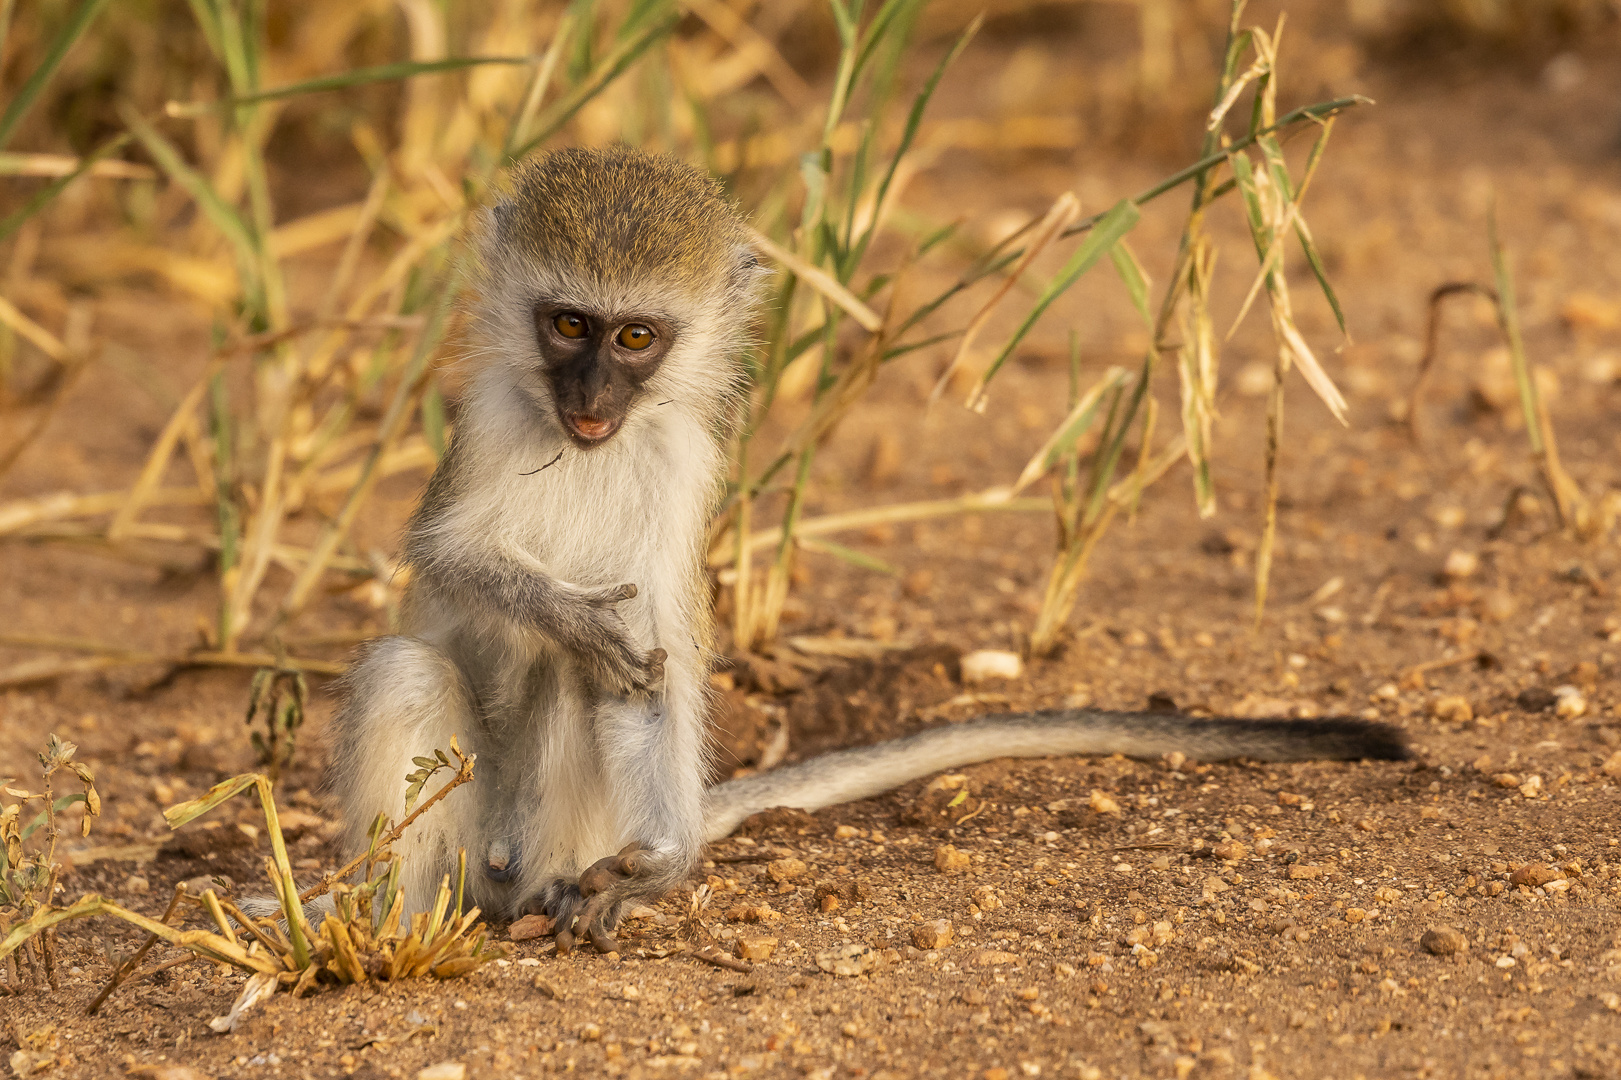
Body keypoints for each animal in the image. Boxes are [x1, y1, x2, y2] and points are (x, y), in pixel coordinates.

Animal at [332, 145, 1407, 953]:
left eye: (635, 337)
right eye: (567, 324)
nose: (592, 399)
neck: (587, 445)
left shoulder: (681, 463)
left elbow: (648, 663)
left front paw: (667, 865)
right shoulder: (486, 420)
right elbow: (446, 557)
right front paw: (556, 606)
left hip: (572, 835)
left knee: (578, 692)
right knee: (409, 671)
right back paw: (388, 930)